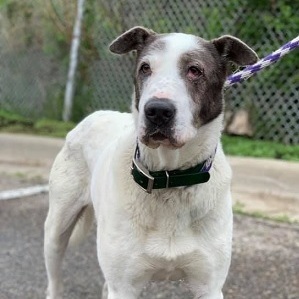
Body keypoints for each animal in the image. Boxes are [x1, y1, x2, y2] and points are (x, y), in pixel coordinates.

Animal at [44, 26, 258, 299]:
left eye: (195, 70)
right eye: (145, 68)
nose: (157, 111)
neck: (168, 179)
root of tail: (96, 114)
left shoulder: (209, 287)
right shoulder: (124, 287)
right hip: (56, 230)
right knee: (55, 279)